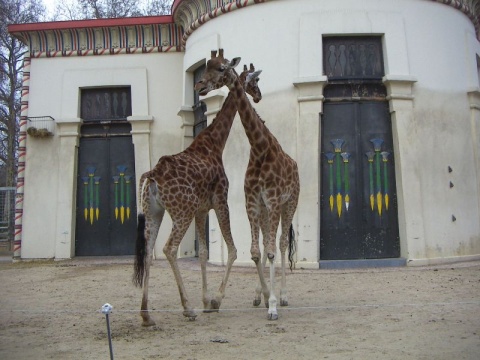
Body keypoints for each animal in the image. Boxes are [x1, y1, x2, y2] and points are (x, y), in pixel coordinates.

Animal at [132, 59, 262, 326]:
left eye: (218, 68)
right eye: (254, 80)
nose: (258, 95)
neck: (215, 143)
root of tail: (152, 175)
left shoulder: (202, 210)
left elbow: (202, 253)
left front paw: (205, 300)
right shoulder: (221, 201)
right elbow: (233, 250)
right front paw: (214, 301)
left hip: (154, 212)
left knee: (148, 252)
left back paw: (147, 315)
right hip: (181, 211)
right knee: (169, 249)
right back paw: (187, 308)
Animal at [195, 48, 300, 320]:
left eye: (221, 68)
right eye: (206, 66)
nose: (199, 86)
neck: (260, 148)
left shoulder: (273, 200)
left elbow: (272, 250)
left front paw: (272, 305)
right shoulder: (252, 202)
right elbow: (255, 251)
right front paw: (262, 297)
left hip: (290, 203)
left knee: (281, 243)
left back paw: (284, 296)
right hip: (266, 210)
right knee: (266, 243)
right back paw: (260, 295)